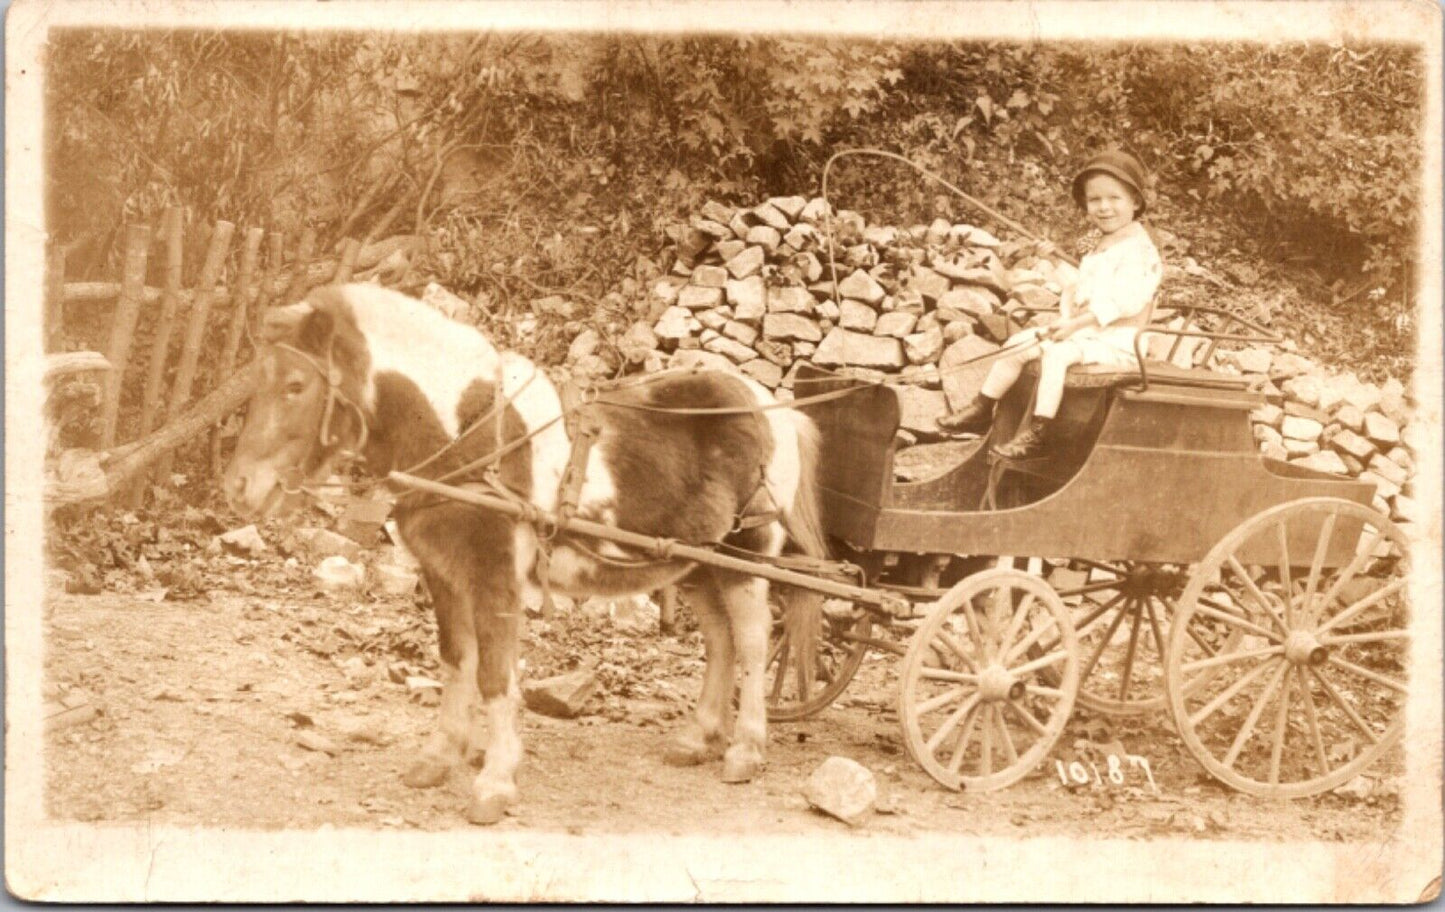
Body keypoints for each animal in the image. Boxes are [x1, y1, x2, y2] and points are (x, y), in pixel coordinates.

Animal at [216, 281, 826, 826]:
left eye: (296, 385)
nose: (240, 487)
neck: (470, 436)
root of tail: (773, 405)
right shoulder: (442, 574)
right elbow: (455, 662)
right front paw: (439, 758)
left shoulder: (494, 577)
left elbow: (495, 676)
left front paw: (495, 783)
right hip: (695, 562)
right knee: (721, 642)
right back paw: (697, 738)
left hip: (747, 558)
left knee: (752, 644)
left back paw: (745, 750)